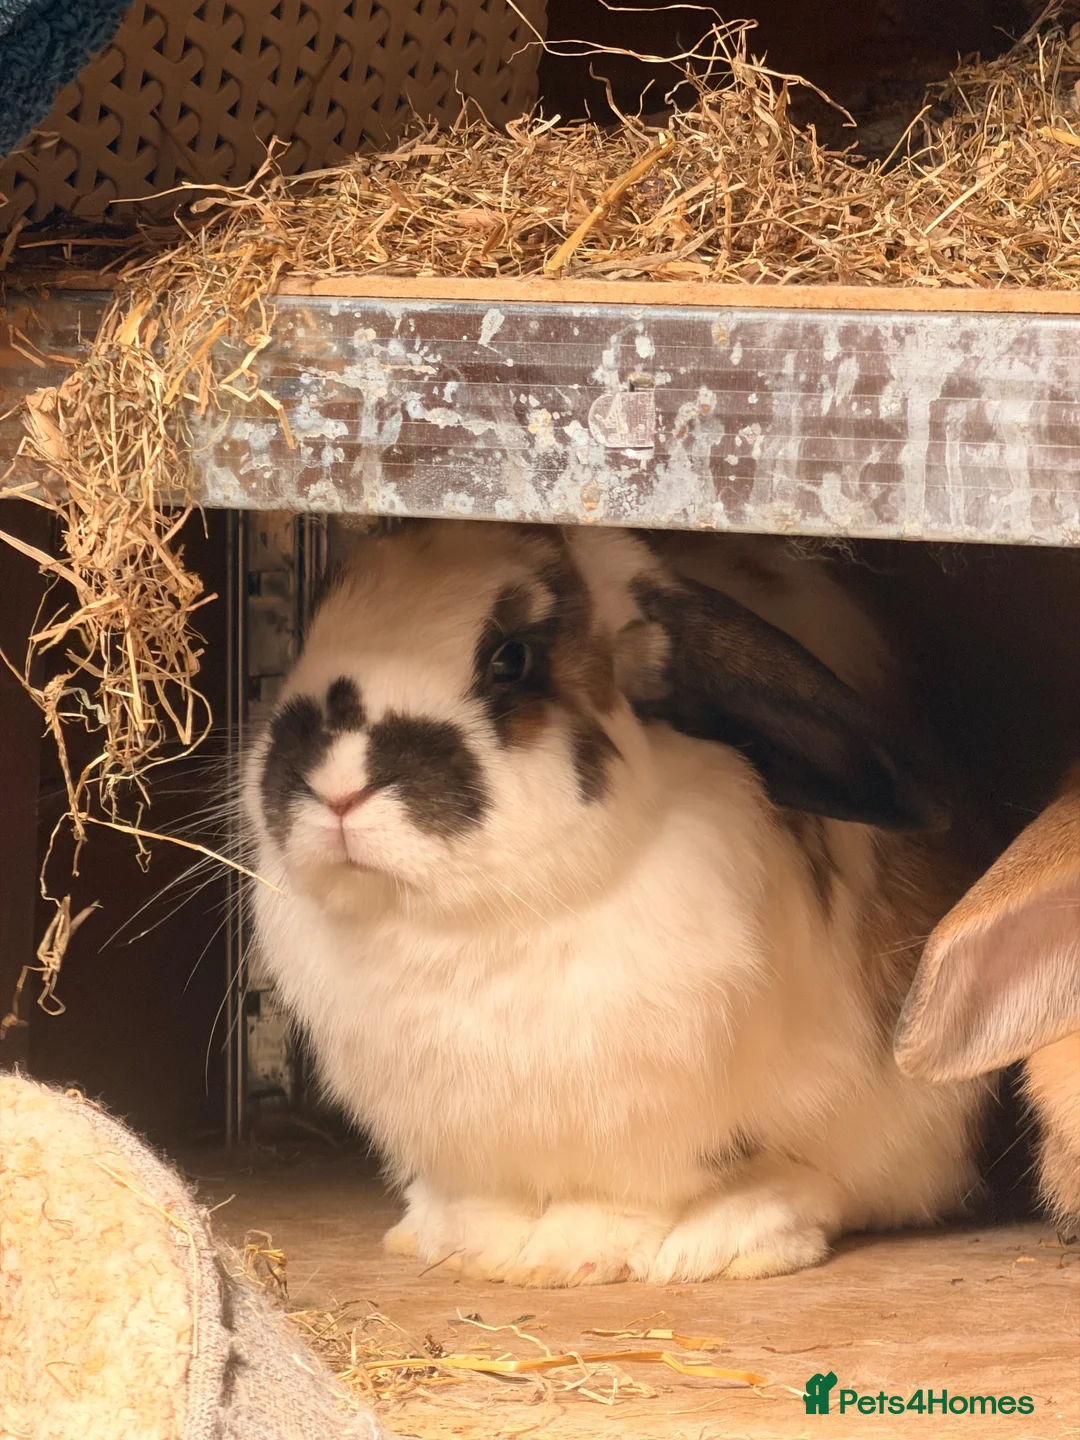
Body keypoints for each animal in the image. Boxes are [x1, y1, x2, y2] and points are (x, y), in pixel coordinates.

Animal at [243, 519, 988, 1287]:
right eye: (312, 625)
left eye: (511, 659)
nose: (336, 787)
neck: (465, 928)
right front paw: (468, 1245)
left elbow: (630, 1195)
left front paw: (575, 1255)